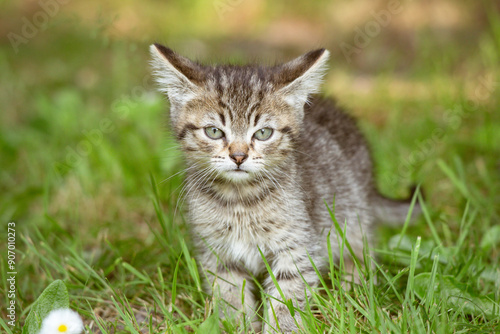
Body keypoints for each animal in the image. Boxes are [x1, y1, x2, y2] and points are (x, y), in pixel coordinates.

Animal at [148, 43, 418, 332]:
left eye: (263, 133)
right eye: (214, 131)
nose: (238, 156)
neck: (240, 200)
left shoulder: (297, 248)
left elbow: (287, 299)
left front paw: (280, 326)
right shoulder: (217, 253)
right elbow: (230, 297)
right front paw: (240, 325)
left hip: (352, 216)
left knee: (361, 253)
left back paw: (353, 290)